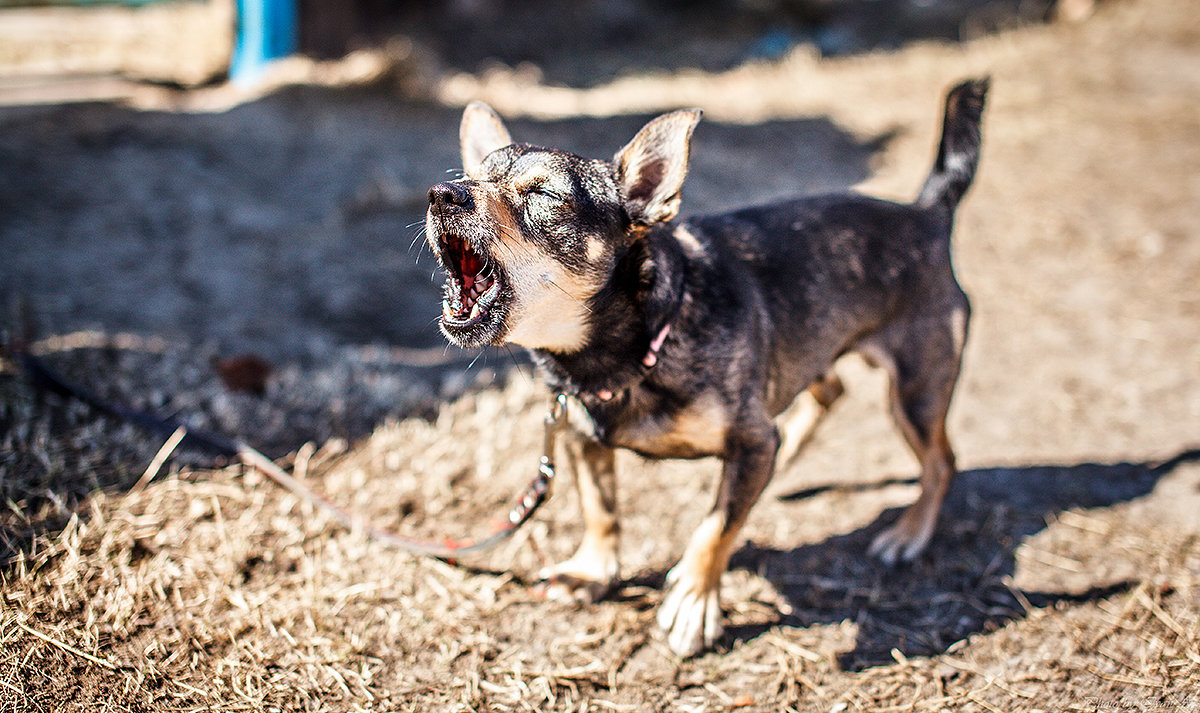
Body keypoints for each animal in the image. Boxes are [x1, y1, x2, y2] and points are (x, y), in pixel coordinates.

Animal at [427, 79, 988, 652]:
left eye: (542, 195)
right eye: (465, 178)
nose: (442, 194)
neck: (627, 352)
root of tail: (925, 213)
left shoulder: (749, 439)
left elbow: (715, 527)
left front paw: (694, 603)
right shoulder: (583, 438)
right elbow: (601, 511)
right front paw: (592, 572)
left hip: (916, 393)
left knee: (941, 463)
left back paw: (908, 535)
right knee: (827, 393)